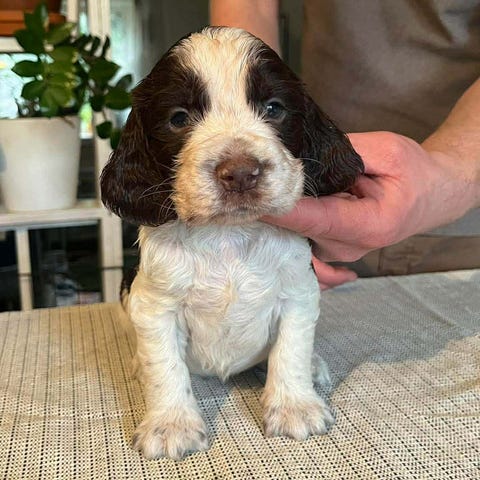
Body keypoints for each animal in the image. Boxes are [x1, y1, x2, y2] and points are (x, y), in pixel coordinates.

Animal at [101, 27, 364, 460]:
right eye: (179, 118)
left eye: (274, 108)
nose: (240, 173)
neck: (227, 235)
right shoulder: (155, 305)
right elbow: (164, 364)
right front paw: (171, 424)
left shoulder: (298, 292)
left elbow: (291, 347)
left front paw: (294, 405)